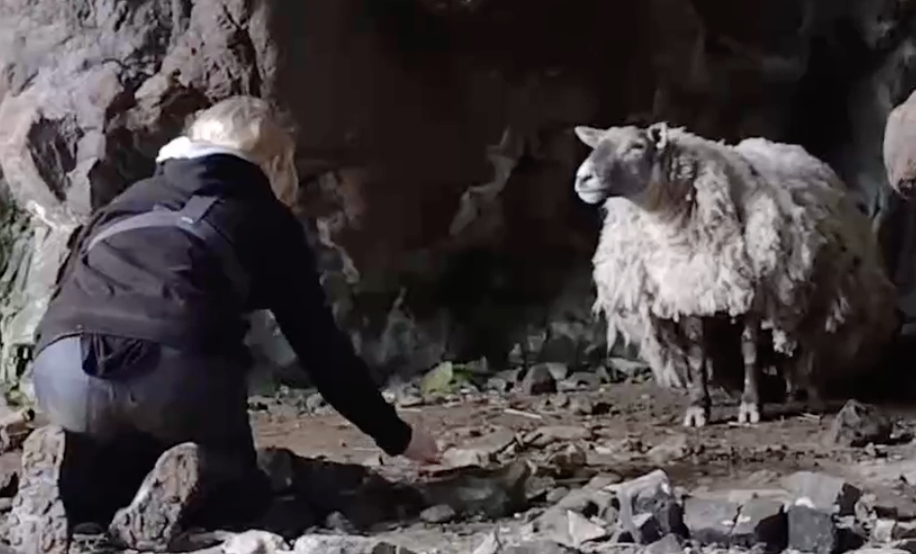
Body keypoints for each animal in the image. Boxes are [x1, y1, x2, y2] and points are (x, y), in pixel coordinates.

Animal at [574, 122, 898, 427]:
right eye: (597, 145)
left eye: (637, 146)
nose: (583, 178)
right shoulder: (691, 291)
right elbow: (697, 356)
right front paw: (698, 408)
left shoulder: (753, 292)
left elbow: (750, 351)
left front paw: (751, 407)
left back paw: (801, 389)